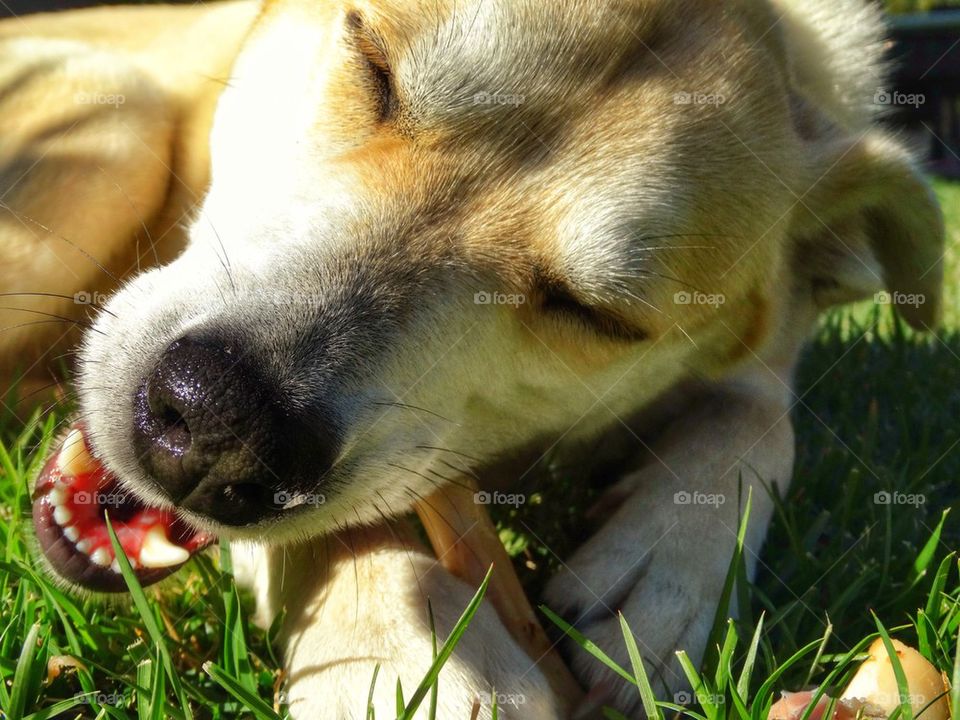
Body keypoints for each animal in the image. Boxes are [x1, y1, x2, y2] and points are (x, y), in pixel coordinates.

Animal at [0, 0, 944, 716]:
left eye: (594, 314)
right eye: (374, 66)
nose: (212, 429)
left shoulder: (762, 362)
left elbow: (759, 417)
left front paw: (668, 564)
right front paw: (399, 646)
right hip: (111, 118)